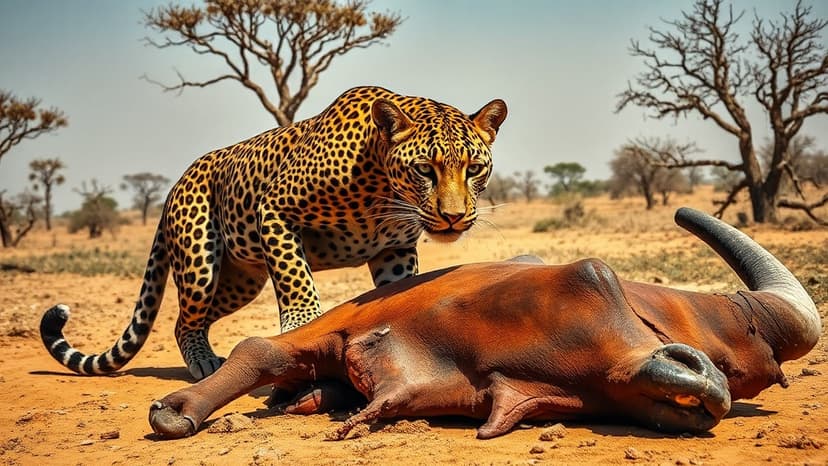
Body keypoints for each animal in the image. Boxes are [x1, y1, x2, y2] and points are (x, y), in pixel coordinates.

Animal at [40, 86, 508, 380]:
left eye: (474, 168)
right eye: (424, 169)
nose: (453, 217)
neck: (379, 184)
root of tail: (175, 183)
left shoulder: (393, 249)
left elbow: (398, 290)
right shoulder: (275, 209)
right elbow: (295, 279)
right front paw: (302, 324)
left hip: (240, 281)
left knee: (189, 317)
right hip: (200, 263)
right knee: (184, 319)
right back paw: (204, 364)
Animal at [143, 207, 820, 440]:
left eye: (747, 376)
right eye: (590, 277)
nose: (703, 380)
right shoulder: (335, 328)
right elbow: (259, 349)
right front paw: (178, 409)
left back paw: (310, 399)